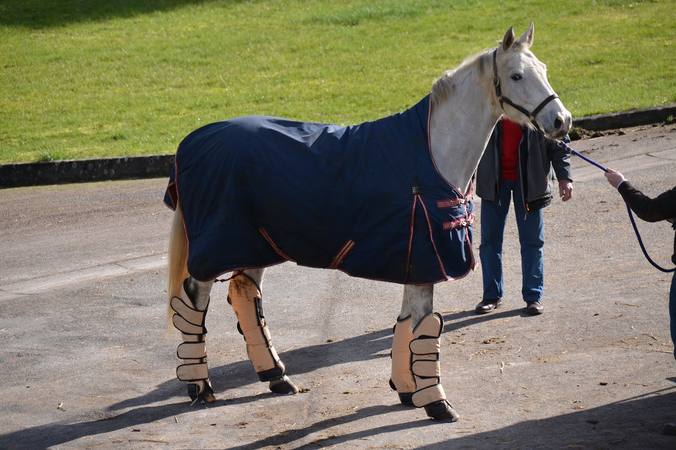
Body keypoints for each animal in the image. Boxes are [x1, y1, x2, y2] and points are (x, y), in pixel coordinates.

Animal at [164, 24, 571, 422]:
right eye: (516, 75)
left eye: (544, 69)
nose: (562, 121)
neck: (431, 154)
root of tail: (193, 141)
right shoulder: (427, 258)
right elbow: (425, 327)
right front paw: (436, 402)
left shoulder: (416, 262)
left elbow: (409, 324)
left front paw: (408, 391)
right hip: (216, 249)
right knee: (194, 301)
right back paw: (200, 387)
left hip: (256, 242)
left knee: (245, 294)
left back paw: (277, 378)